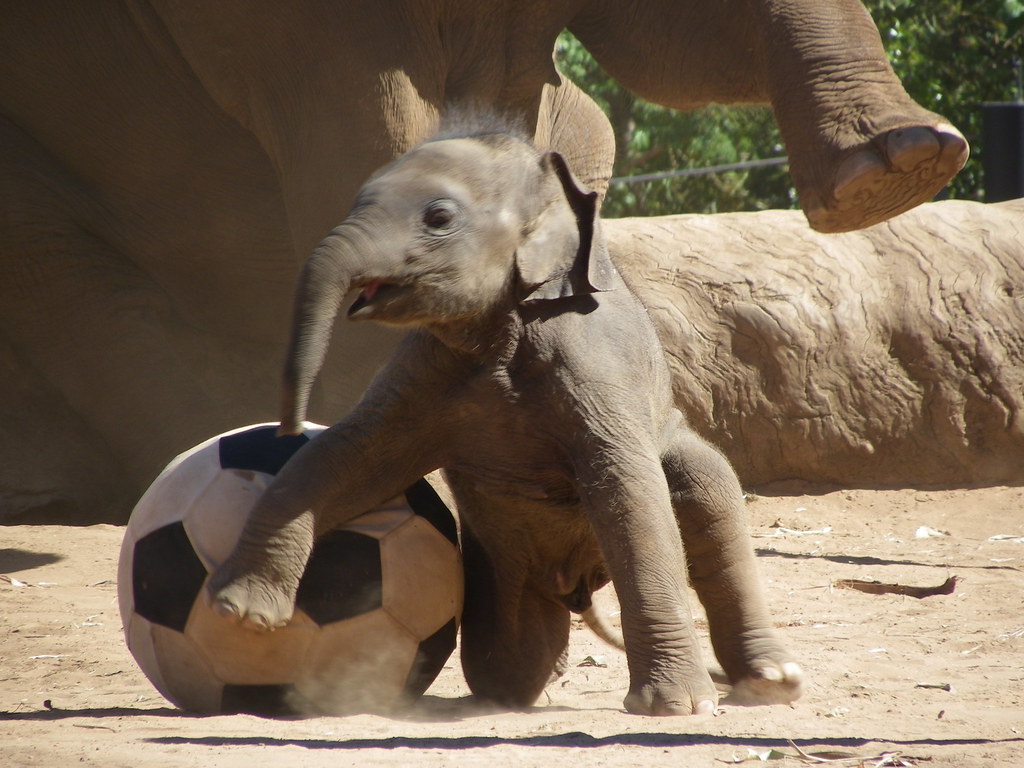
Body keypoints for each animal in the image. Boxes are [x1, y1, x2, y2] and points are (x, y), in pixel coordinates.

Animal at [208, 123, 804, 716]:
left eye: (439, 217)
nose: (285, 427)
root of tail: (579, 586)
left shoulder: (596, 363)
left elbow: (628, 488)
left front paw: (677, 707)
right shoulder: (424, 372)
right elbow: (351, 454)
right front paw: (239, 612)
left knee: (708, 487)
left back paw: (771, 682)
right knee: (508, 660)